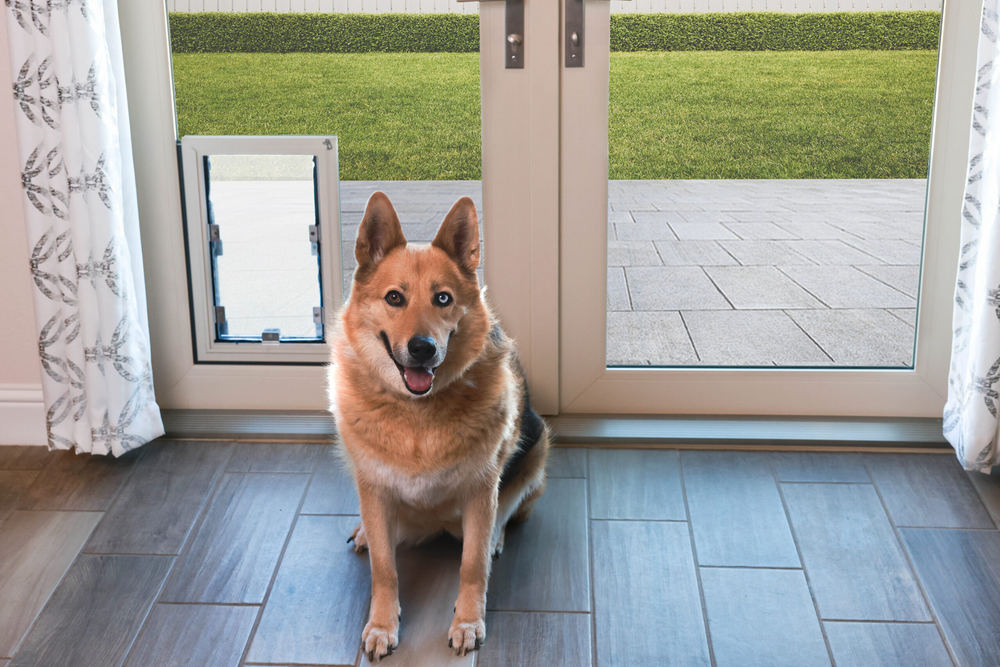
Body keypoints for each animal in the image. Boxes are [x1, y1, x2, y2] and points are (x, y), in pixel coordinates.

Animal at [328, 193, 552, 664]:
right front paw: (382, 624)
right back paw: (366, 533)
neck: (417, 413)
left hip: (537, 446)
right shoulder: (374, 490)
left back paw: (496, 538)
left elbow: (471, 566)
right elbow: (384, 570)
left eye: (443, 298)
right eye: (394, 297)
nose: (422, 349)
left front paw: (468, 622)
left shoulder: (481, 492)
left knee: (504, 513)